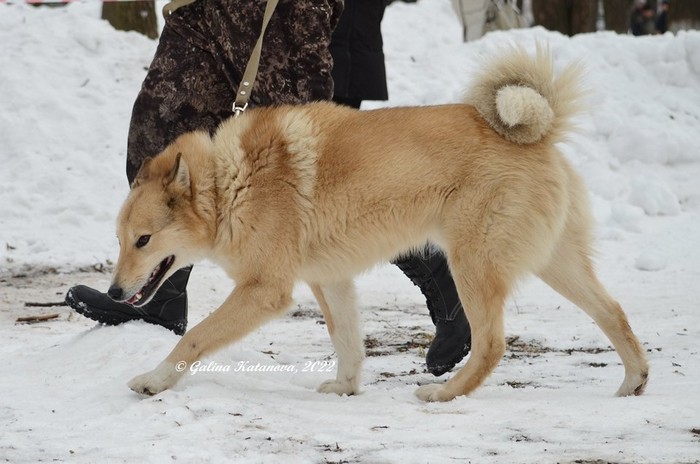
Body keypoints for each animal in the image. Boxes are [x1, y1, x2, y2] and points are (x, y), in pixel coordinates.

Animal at [109, 46, 649, 401]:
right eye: (120, 240)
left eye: (143, 240)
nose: (113, 292)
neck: (228, 185)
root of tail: (539, 135)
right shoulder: (330, 280)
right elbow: (346, 340)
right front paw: (346, 388)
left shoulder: (264, 290)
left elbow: (195, 336)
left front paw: (154, 381)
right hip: (555, 264)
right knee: (613, 312)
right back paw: (634, 381)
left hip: (473, 263)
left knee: (492, 344)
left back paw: (445, 393)